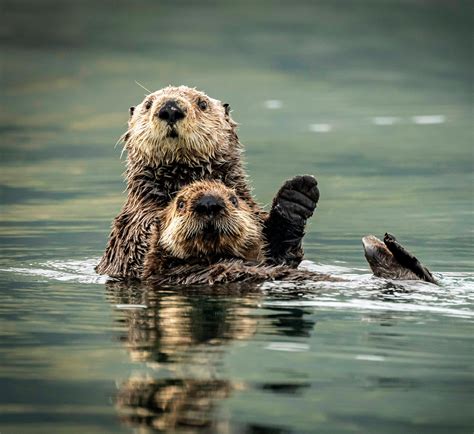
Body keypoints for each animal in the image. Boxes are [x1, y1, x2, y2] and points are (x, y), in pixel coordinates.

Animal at [96, 85, 318, 278]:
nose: (170, 109)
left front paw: (296, 195)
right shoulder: (132, 227)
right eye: (148, 104)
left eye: (202, 104)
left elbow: (280, 254)